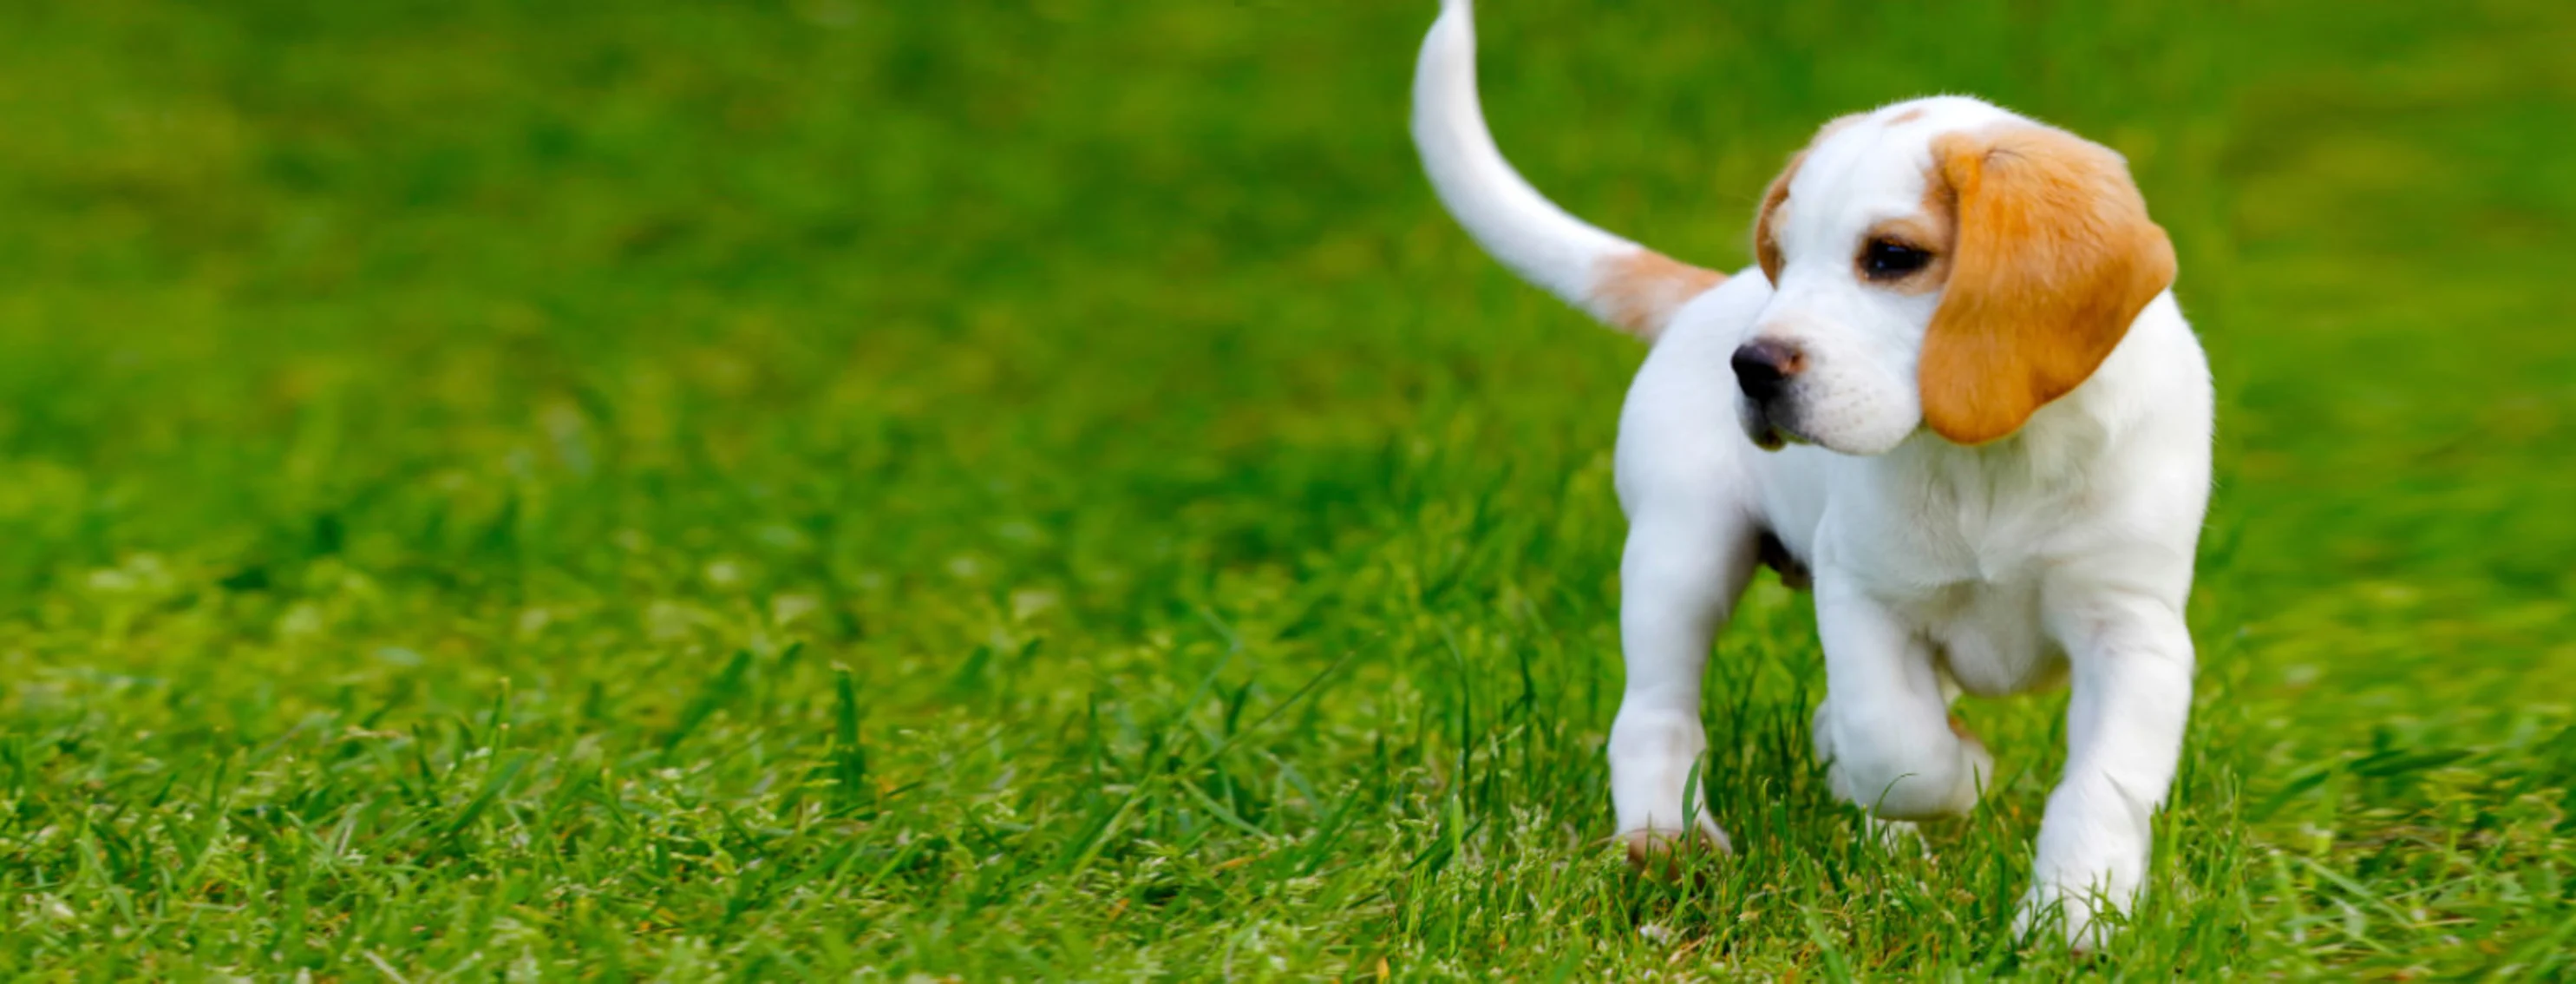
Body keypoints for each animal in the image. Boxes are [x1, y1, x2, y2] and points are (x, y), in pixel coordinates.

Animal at [1411, 2, 2215, 953]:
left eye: (1892, 256)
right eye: (1784, 258)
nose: (1750, 366)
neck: (1993, 457)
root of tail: (1705, 299)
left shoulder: (2134, 632)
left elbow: (2104, 785)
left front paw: (2074, 918)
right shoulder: (1864, 594)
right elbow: (1896, 741)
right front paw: (1965, 774)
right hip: (1682, 555)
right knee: (1656, 711)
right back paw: (1669, 842)